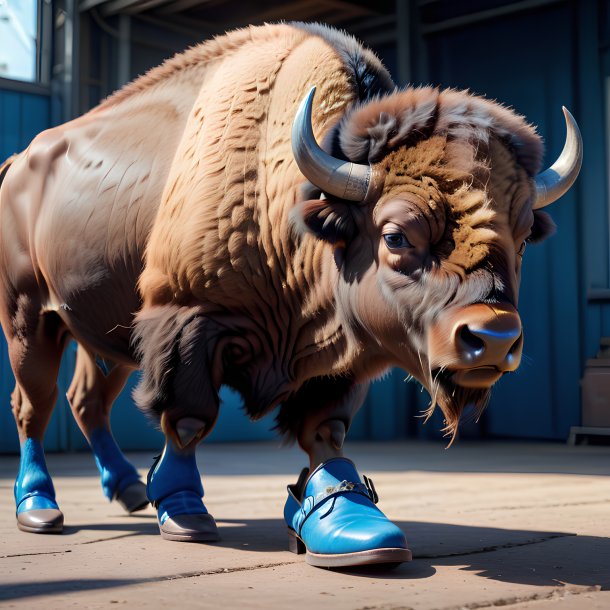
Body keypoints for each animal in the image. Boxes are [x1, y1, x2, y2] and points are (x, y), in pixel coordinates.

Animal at [0, 23, 580, 564]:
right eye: (395, 235)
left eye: (524, 237)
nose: (494, 338)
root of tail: (19, 163)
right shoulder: (186, 318)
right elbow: (188, 418)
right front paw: (185, 510)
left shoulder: (336, 361)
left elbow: (324, 432)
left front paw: (348, 523)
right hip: (28, 317)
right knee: (34, 403)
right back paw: (40, 508)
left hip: (102, 332)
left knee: (86, 401)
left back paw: (128, 490)